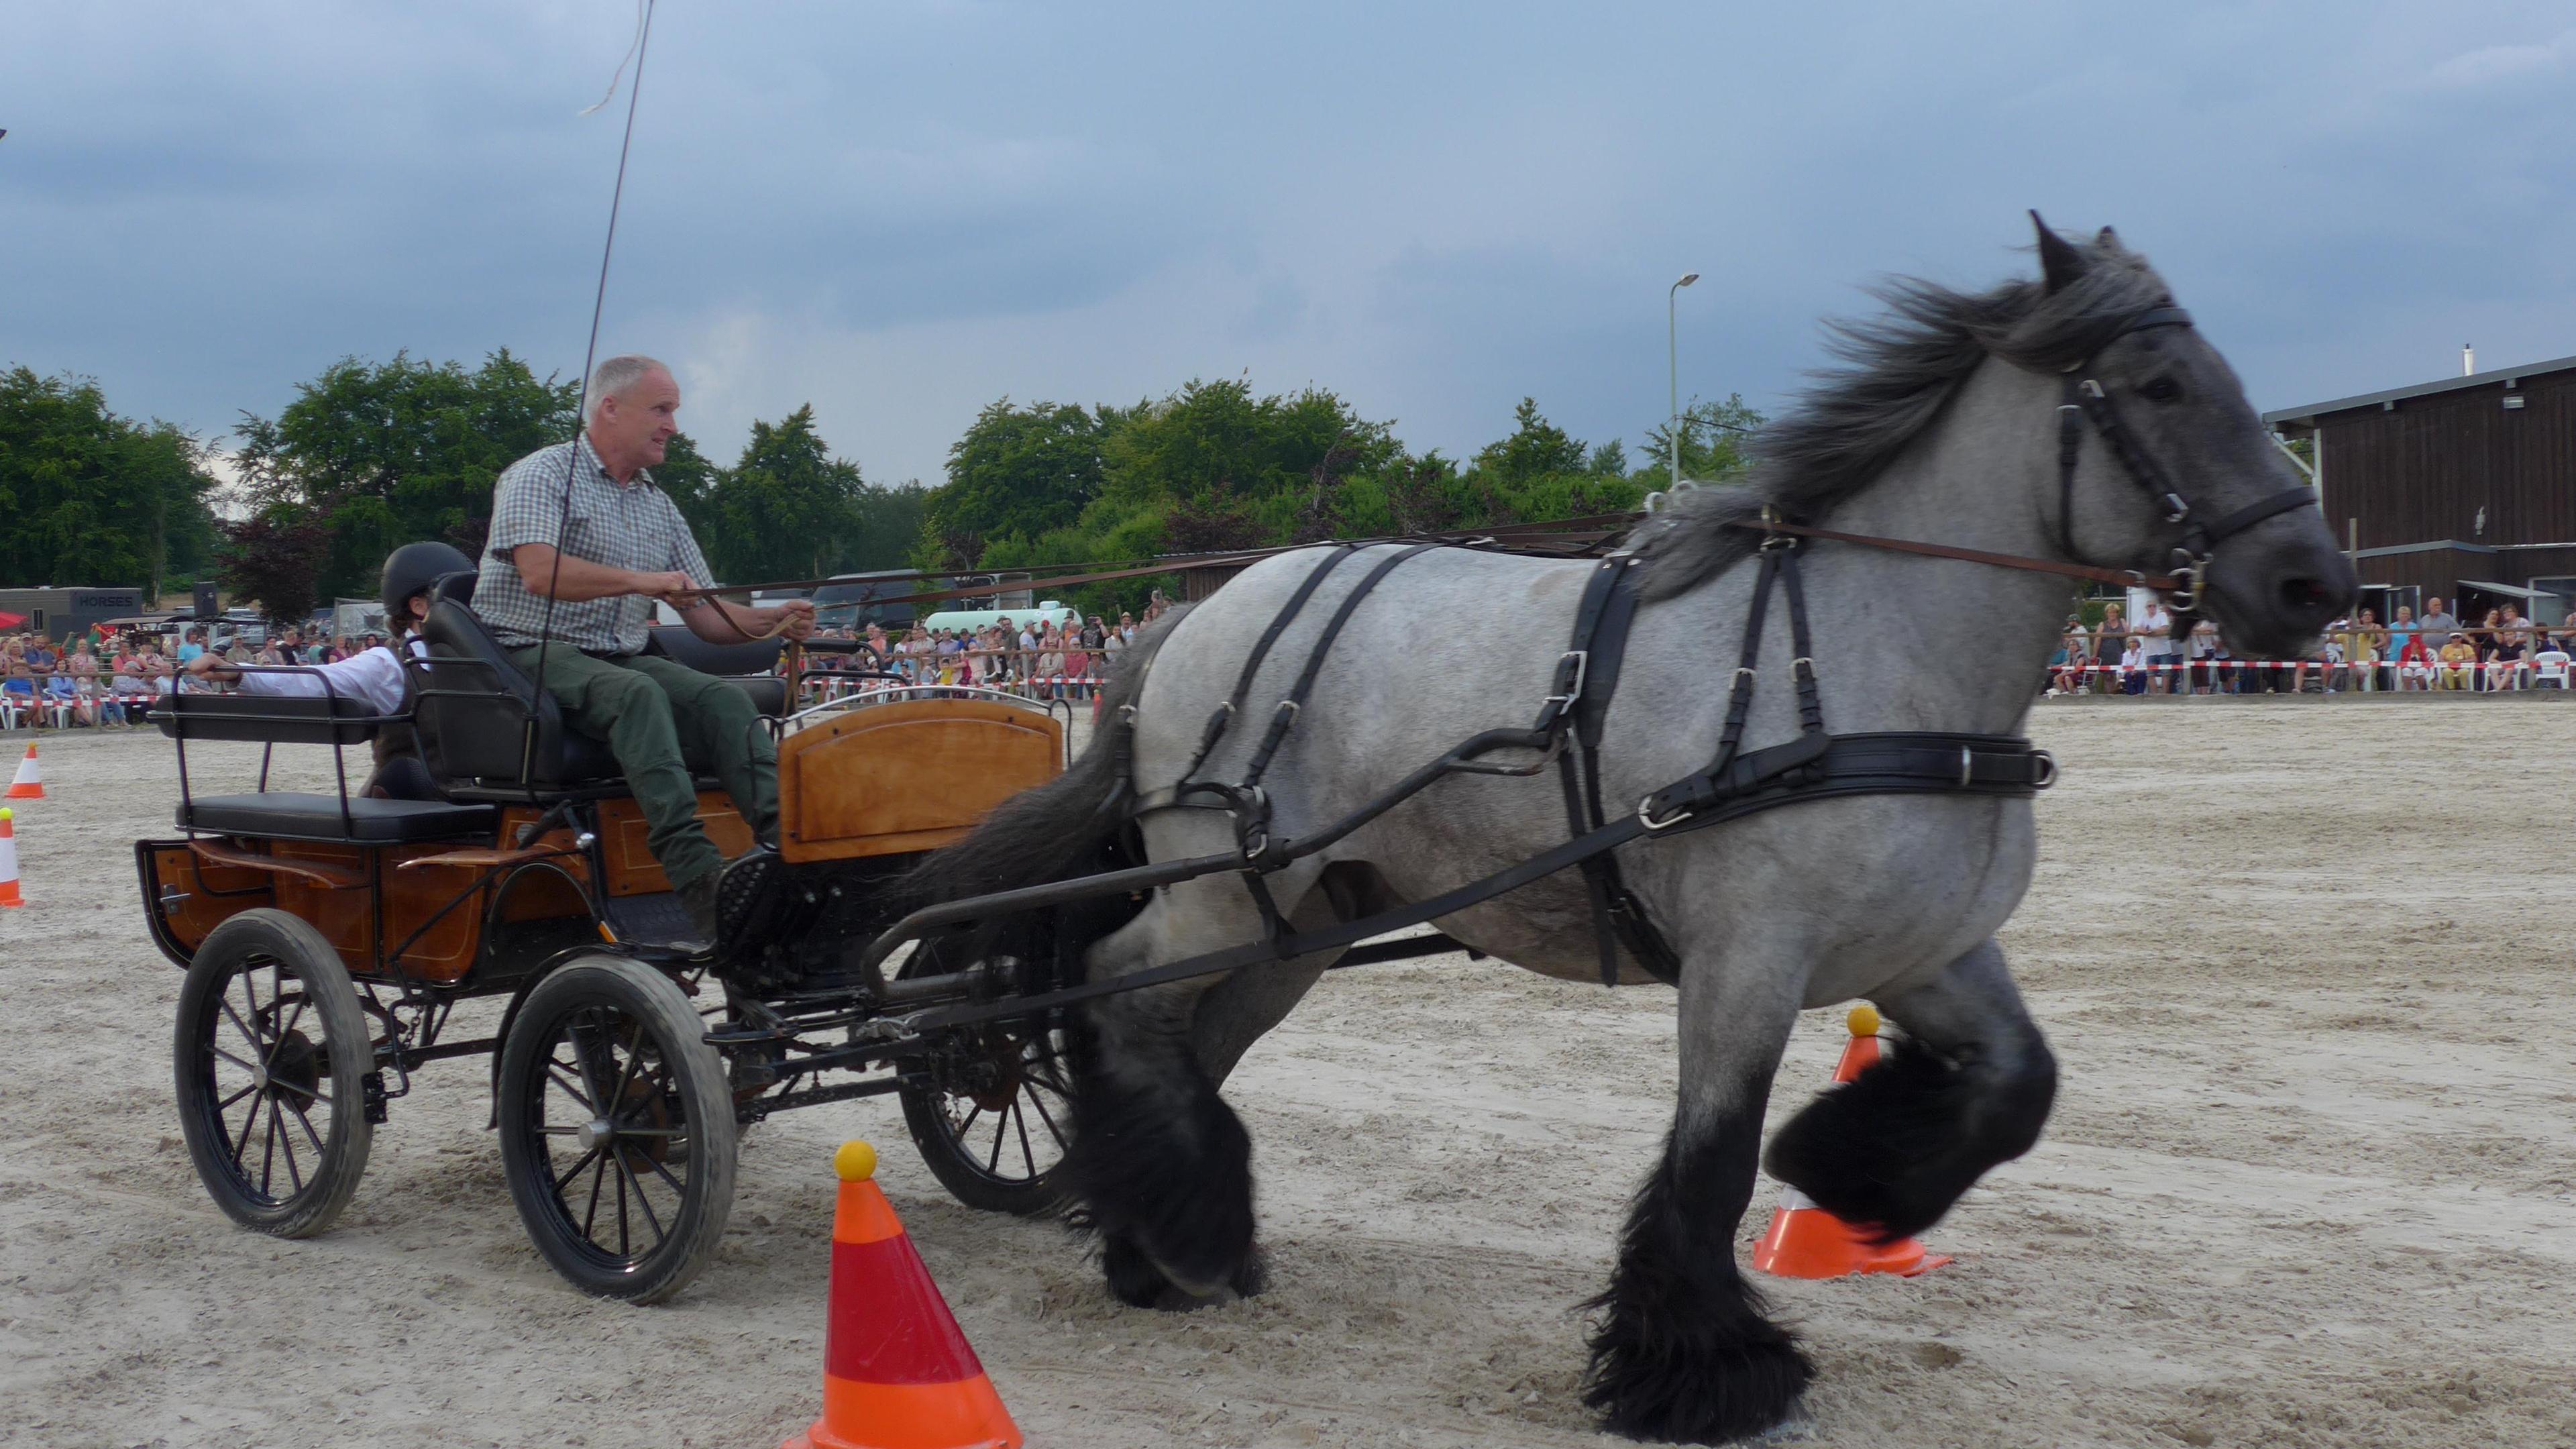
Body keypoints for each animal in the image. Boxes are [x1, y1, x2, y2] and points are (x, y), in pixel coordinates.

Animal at [906, 220, 2359, 1433]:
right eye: (2161, 388)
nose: (2316, 585)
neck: (1869, 658)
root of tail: (1186, 617)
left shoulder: (1929, 950)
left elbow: (2015, 1090)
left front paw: (1852, 1173)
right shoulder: (1746, 960)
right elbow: (1710, 1166)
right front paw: (1706, 1371)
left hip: (1298, 920)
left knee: (1179, 1038)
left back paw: (1163, 1240)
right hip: (1223, 886)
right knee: (1112, 987)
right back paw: (1180, 1235)